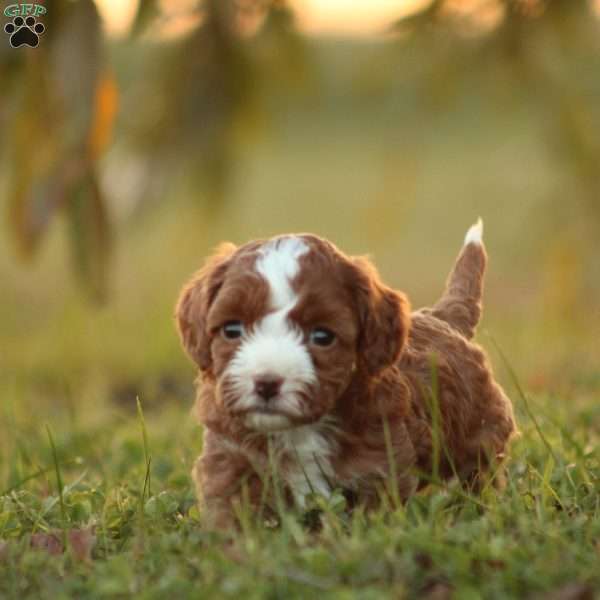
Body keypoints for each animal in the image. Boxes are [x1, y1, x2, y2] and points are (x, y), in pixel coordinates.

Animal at [175, 223, 516, 528]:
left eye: (322, 336)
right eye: (232, 329)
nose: (267, 382)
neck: (299, 429)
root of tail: (442, 317)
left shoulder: (379, 464)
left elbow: (373, 517)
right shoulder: (229, 457)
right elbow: (230, 513)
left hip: (479, 435)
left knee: (478, 478)